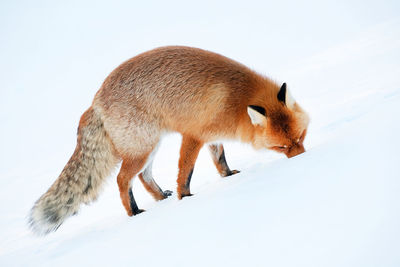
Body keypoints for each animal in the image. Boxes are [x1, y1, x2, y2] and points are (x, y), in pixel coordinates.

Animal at [28, 47, 310, 236]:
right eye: (281, 147)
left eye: (300, 138)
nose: (303, 160)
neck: (235, 100)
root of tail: (95, 100)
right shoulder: (193, 135)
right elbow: (185, 172)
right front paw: (186, 198)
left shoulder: (212, 136)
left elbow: (220, 161)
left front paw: (228, 177)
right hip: (143, 148)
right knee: (122, 179)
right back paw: (134, 212)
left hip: (150, 147)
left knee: (143, 177)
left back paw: (160, 197)